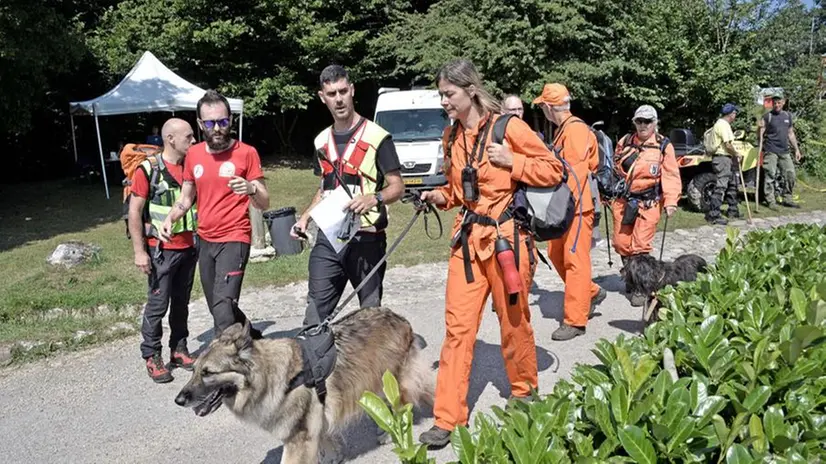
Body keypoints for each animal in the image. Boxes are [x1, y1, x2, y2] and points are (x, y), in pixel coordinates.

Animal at [172, 306, 432, 462]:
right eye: (194, 370)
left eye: (208, 372)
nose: (178, 400)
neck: (269, 375)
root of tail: (397, 317)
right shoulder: (314, 424)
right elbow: (326, 440)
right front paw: (333, 456)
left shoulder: (298, 437)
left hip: (393, 383)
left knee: (405, 404)